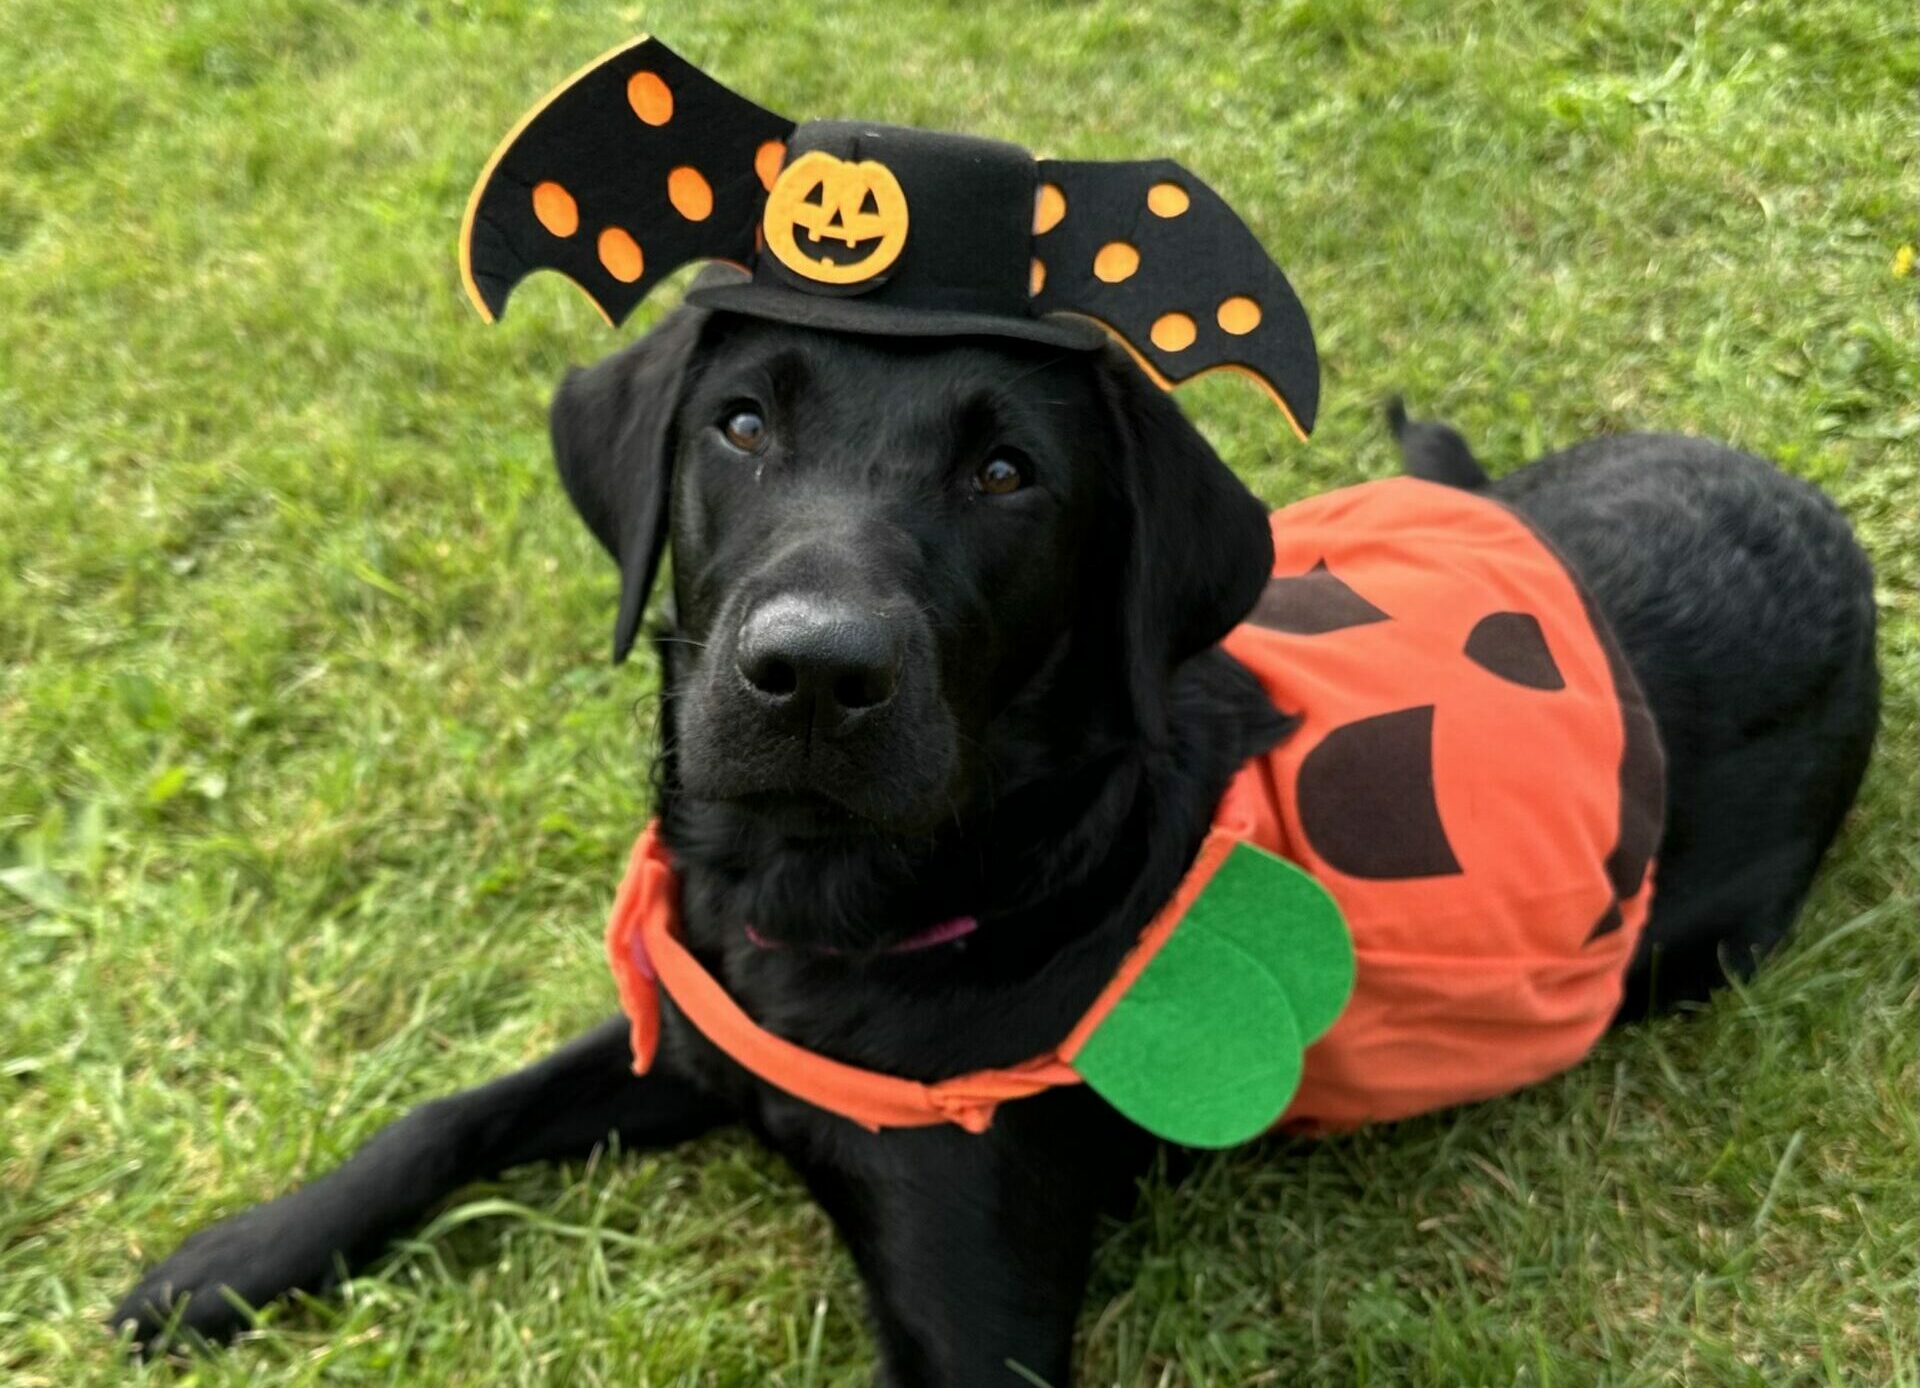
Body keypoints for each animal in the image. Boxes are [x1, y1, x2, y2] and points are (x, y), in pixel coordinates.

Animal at [112, 307, 1881, 1388]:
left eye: (1008, 472)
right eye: (740, 426)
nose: (813, 675)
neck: (845, 903)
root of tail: (1823, 522)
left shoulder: (976, 1321)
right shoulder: (697, 1023)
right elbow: (448, 1114)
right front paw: (227, 1262)